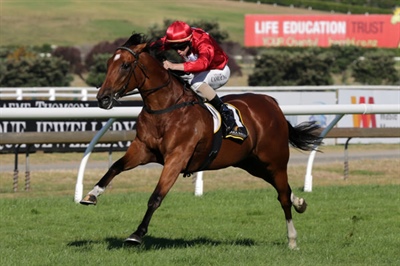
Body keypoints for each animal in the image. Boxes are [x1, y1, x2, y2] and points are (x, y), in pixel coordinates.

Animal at [81, 33, 322, 249]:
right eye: (108, 64)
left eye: (125, 65)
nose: (102, 98)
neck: (165, 109)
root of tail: (272, 103)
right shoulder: (142, 149)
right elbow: (115, 167)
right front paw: (91, 194)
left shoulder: (177, 158)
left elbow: (156, 196)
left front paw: (137, 234)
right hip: (251, 163)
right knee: (284, 189)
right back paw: (300, 202)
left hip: (275, 160)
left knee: (282, 196)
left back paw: (292, 239)